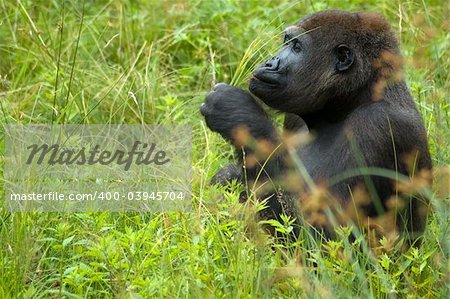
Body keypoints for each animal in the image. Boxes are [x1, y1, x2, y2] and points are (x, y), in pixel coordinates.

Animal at [200, 10, 432, 241]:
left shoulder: (378, 124)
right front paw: (228, 176)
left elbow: (330, 233)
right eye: (287, 42)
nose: (270, 62)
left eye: (297, 47)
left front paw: (237, 112)